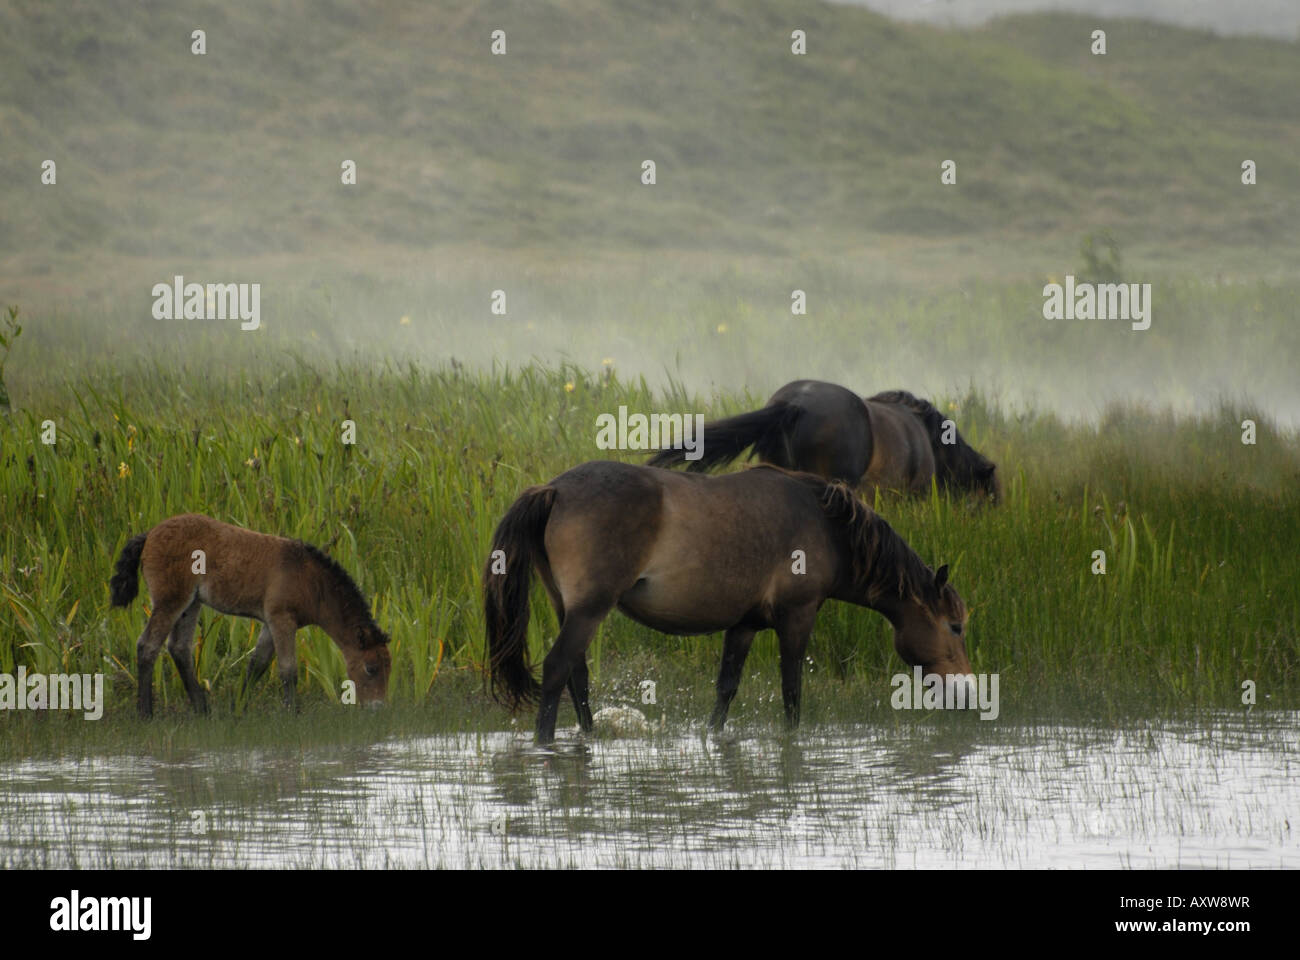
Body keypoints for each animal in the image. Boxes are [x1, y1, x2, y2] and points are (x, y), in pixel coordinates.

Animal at [109, 513, 391, 717]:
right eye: (371, 668)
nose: (377, 708)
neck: (311, 580)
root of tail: (149, 535)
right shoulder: (281, 619)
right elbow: (288, 669)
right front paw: (292, 714)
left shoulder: (269, 622)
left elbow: (258, 663)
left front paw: (238, 708)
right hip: (171, 601)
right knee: (148, 646)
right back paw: (145, 713)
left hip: (191, 603)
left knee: (180, 648)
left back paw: (202, 709)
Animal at [482, 460, 974, 744]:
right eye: (955, 626)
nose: (969, 691)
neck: (827, 525)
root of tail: (554, 490)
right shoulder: (797, 617)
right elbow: (792, 690)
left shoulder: (744, 624)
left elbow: (726, 688)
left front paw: (714, 738)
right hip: (588, 609)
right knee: (557, 669)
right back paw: (546, 743)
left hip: (569, 608)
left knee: (577, 677)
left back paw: (589, 736)